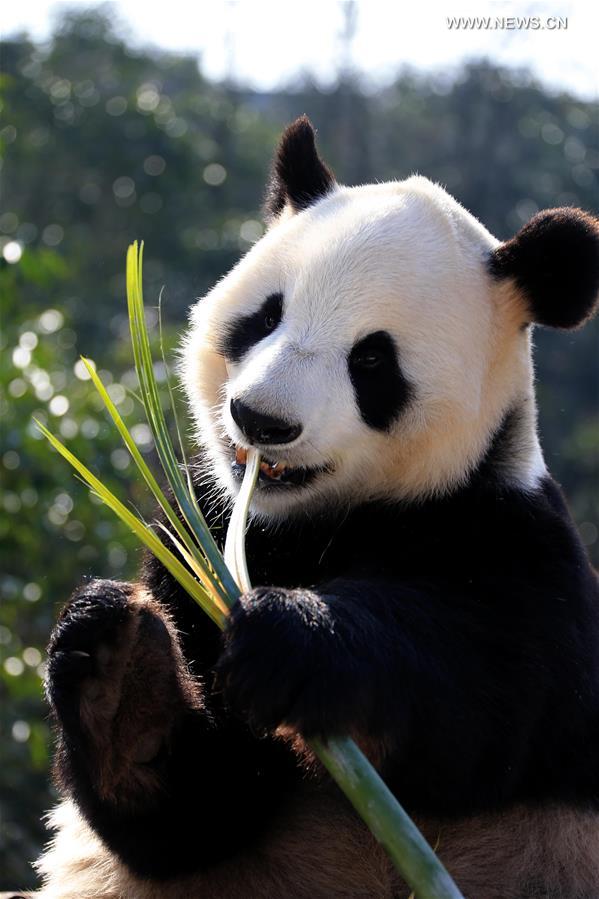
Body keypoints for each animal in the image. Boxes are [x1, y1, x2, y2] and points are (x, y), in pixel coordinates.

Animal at [37, 116, 599, 899]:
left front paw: (293, 638)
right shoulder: (196, 534)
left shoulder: (514, 540)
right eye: (263, 318)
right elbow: (194, 815)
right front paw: (117, 674)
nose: (261, 419)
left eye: (371, 360)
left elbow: (485, 704)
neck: (316, 523)